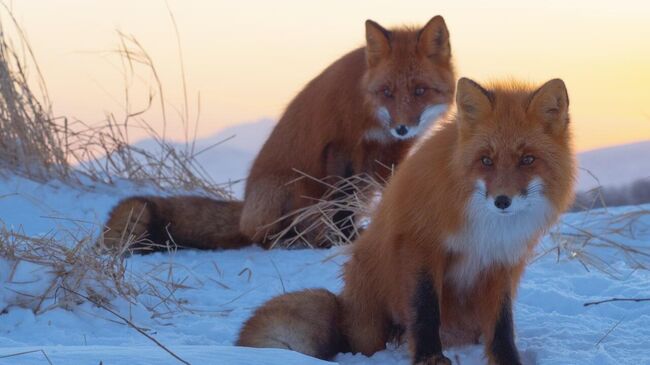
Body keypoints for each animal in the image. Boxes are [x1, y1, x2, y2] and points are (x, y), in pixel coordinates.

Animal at [104, 16, 454, 250]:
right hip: (292, 186)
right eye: (387, 92)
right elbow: (340, 205)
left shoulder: (392, 153)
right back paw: (299, 241)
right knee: (271, 236)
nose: (402, 127)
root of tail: (245, 210)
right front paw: (345, 242)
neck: (369, 113)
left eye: (420, 91)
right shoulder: (339, 145)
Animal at [235, 78, 576, 362]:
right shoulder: (420, 244)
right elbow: (425, 311)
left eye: (527, 160)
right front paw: (429, 358)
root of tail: (344, 307)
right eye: (486, 161)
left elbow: (501, 326)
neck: (486, 227)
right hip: (369, 302)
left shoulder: (501, 261)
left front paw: (507, 360)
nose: (502, 201)